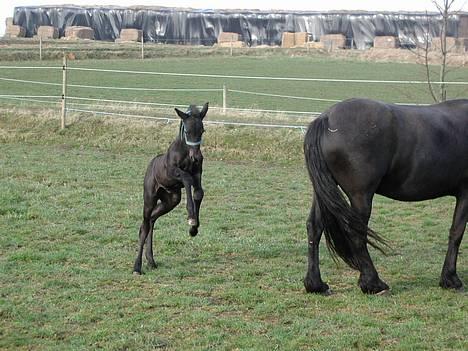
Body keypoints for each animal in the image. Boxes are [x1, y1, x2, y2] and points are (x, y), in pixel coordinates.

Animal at [134, 102, 209, 276]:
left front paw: (193, 229)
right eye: (187, 131)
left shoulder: (198, 174)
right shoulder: (173, 172)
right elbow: (186, 178)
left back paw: (151, 260)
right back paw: (137, 267)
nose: (197, 157)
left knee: (152, 220)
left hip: (171, 200)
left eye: (202, 130)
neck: (186, 153)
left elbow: (199, 193)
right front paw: (191, 217)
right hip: (149, 198)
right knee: (145, 225)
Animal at [304, 98, 468, 294]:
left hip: (323, 191)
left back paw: (316, 284)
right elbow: (457, 233)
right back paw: (373, 283)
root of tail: (326, 118)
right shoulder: (466, 194)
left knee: (314, 228)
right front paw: (450, 279)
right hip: (361, 196)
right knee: (356, 233)